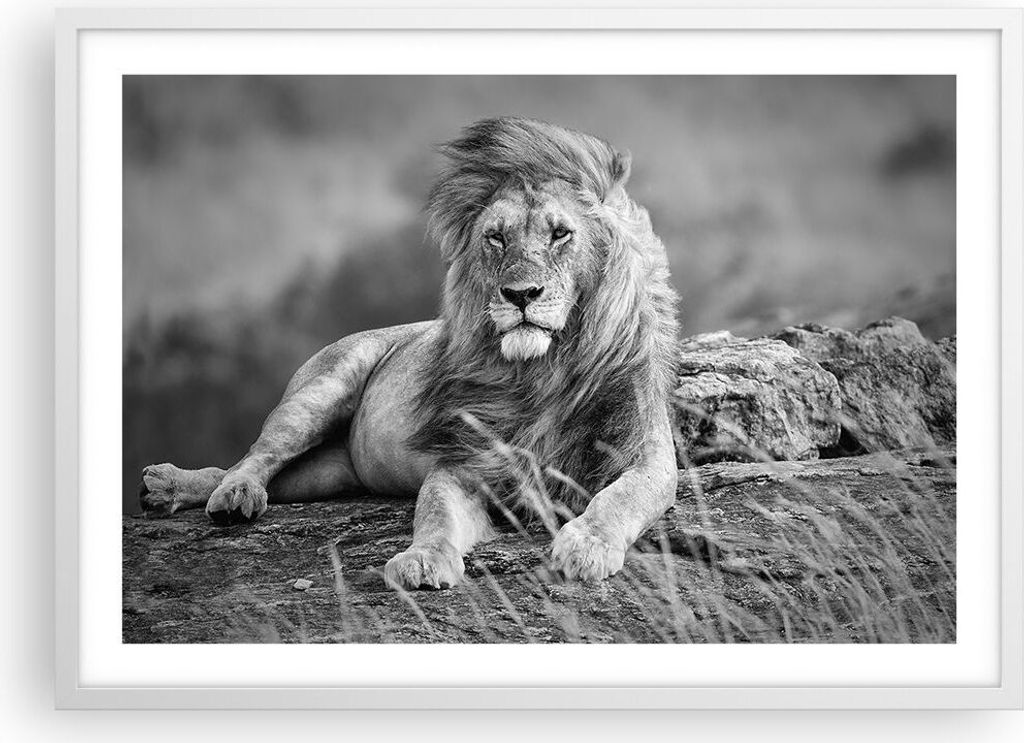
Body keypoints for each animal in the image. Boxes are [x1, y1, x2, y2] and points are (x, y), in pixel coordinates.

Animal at [139, 117, 680, 589]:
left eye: (560, 233)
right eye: (496, 237)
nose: (520, 294)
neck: (542, 370)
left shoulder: (647, 454)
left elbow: (620, 497)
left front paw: (587, 545)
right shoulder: (464, 461)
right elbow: (434, 513)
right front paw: (422, 560)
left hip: (327, 474)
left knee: (253, 471)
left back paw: (171, 488)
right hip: (320, 391)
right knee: (255, 456)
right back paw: (219, 493)